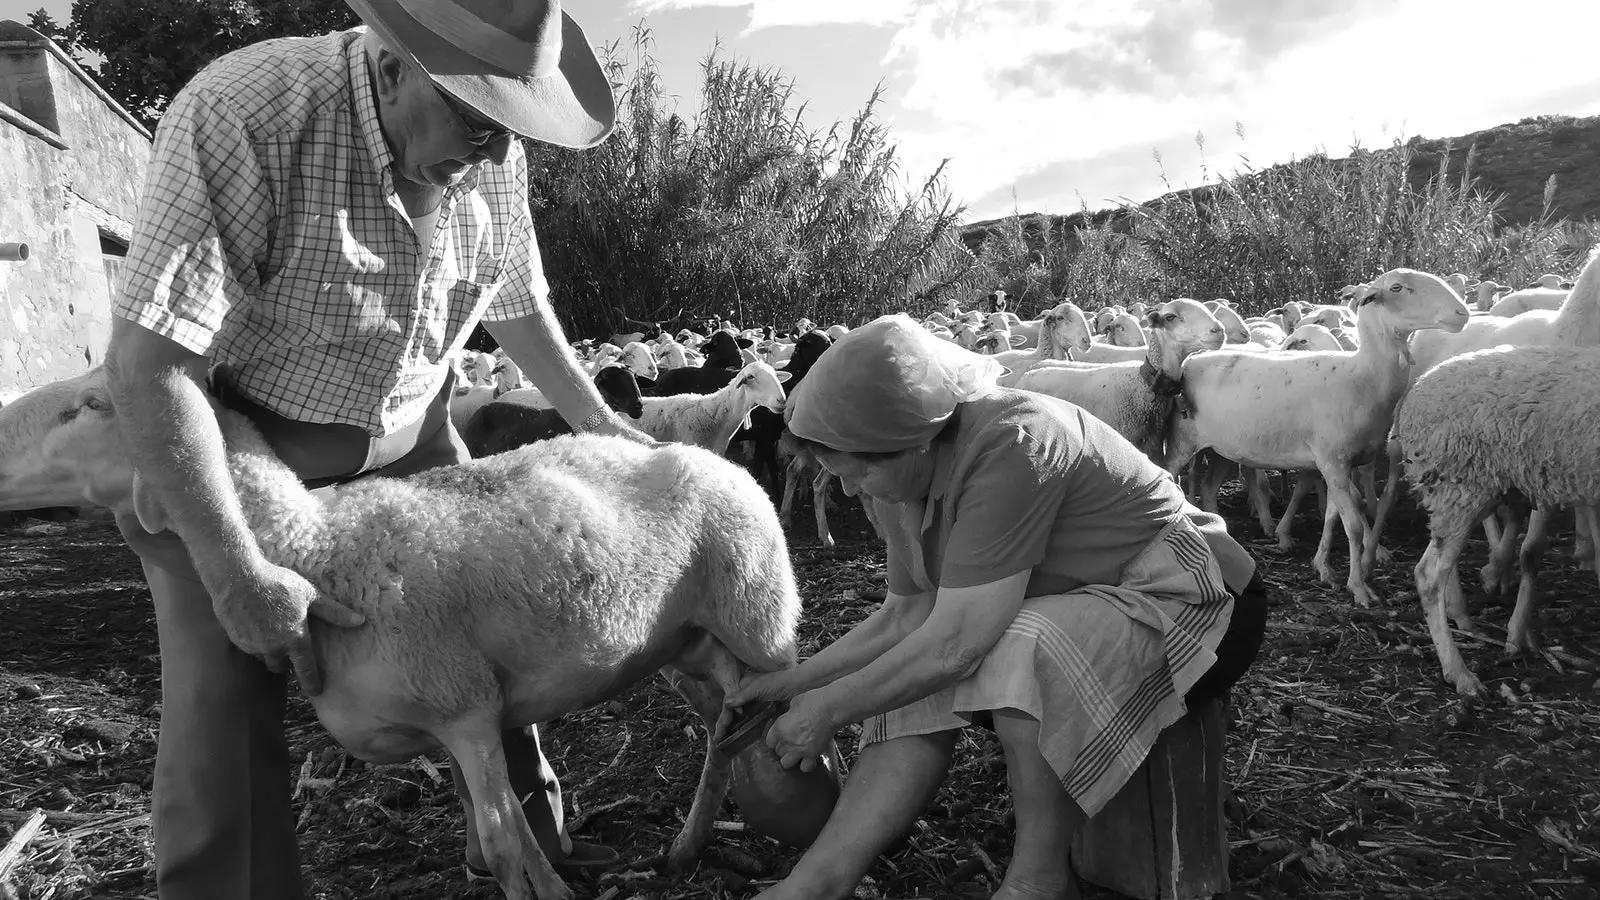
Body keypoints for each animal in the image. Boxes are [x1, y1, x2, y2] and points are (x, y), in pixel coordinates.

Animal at [0, 366, 806, 896]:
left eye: (91, 404)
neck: (318, 546)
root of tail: (704, 452)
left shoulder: (465, 708)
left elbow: (502, 844)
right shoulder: (458, 723)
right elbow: (515, 833)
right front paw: (557, 885)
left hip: (760, 612)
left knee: (786, 709)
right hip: (685, 646)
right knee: (723, 731)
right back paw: (688, 846)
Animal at [1158, 265, 1465, 602]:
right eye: (1397, 288)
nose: (1462, 314)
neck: (1363, 376)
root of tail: (1191, 359)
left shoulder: (1339, 464)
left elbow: (1334, 514)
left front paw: (1324, 567)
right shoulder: (1333, 459)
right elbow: (1353, 524)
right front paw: (1359, 587)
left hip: (1221, 449)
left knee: (1210, 488)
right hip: (1182, 443)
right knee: (1171, 474)